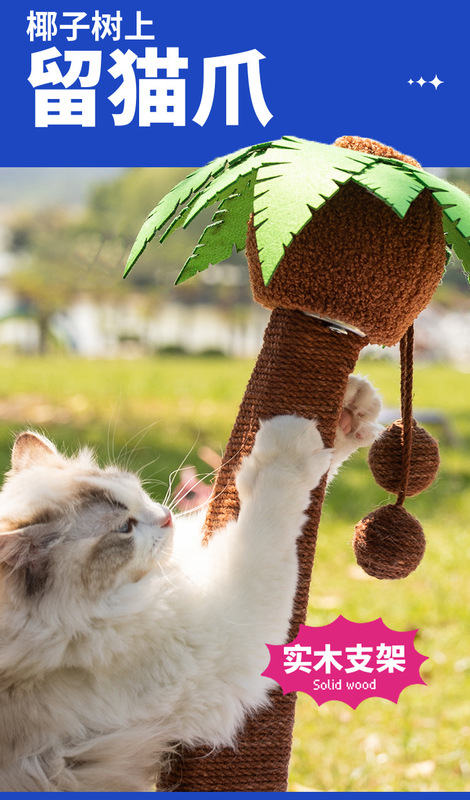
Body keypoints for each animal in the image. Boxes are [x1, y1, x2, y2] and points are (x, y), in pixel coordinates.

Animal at [0, 375, 381, 791]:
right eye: (124, 528)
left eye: (136, 489)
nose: (165, 516)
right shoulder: (224, 635)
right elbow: (268, 517)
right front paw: (290, 443)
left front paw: (350, 408)